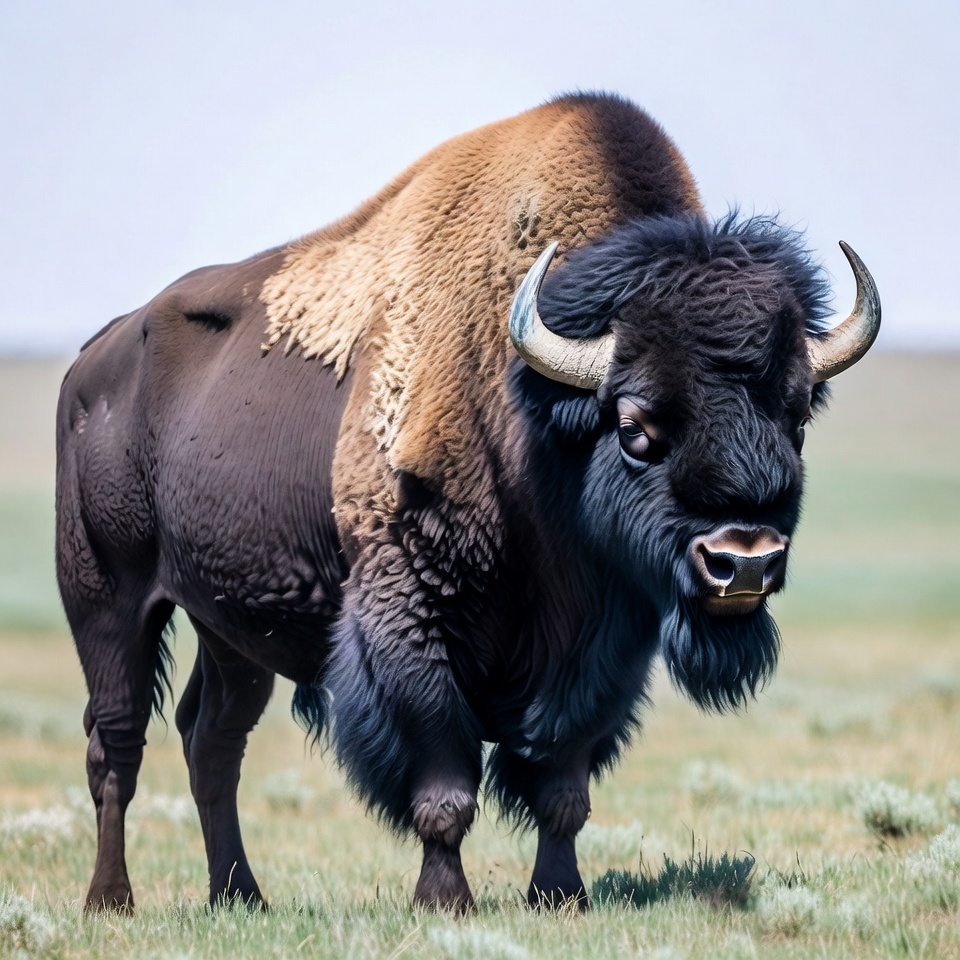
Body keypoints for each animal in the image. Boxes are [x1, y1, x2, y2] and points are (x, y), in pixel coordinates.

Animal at [56, 92, 879, 913]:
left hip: (229, 633)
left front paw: (561, 894)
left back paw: (240, 896)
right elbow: (446, 785)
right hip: (108, 602)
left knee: (212, 742)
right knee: (117, 743)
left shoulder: (603, 649)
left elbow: (563, 788)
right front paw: (444, 899)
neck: (532, 416)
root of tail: (93, 360)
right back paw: (111, 898)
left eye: (797, 416)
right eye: (635, 425)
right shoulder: (412, 621)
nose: (745, 562)